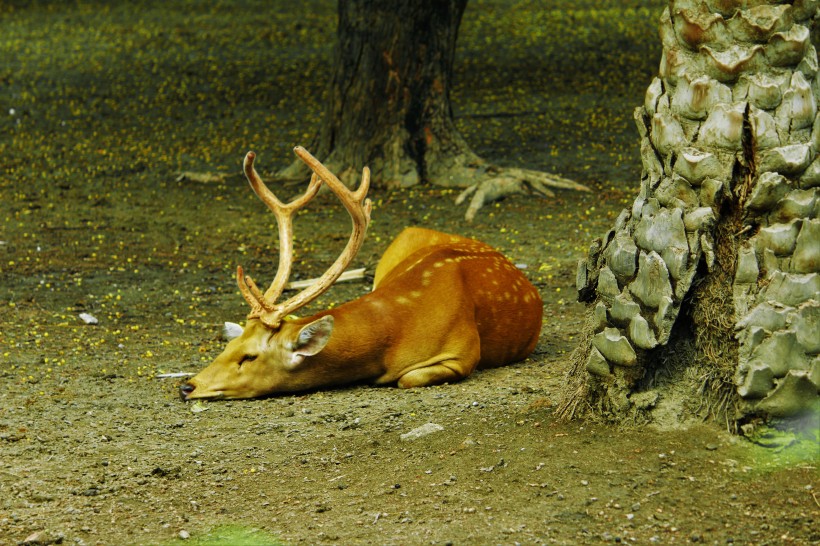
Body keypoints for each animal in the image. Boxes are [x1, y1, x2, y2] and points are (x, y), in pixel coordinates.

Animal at [179, 146, 540, 400]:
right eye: (226, 348)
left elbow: (407, 377)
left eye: (249, 357)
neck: (396, 329)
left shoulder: (463, 353)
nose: (187, 385)